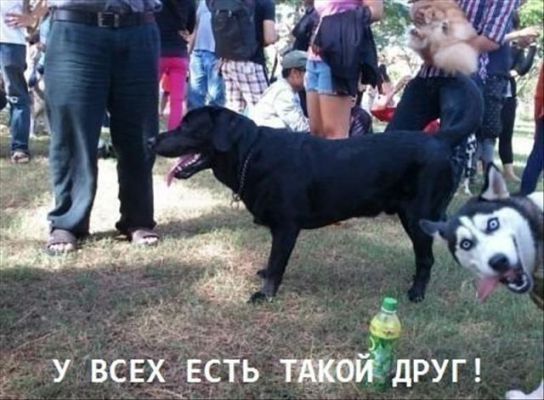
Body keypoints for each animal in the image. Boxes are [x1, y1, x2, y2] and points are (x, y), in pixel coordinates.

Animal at [151, 85, 482, 304]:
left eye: (188, 126)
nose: (152, 139)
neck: (250, 153)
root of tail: (439, 138)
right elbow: (271, 262)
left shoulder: (286, 226)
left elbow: (277, 263)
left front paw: (265, 295)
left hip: (417, 216)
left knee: (426, 259)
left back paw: (416, 293)